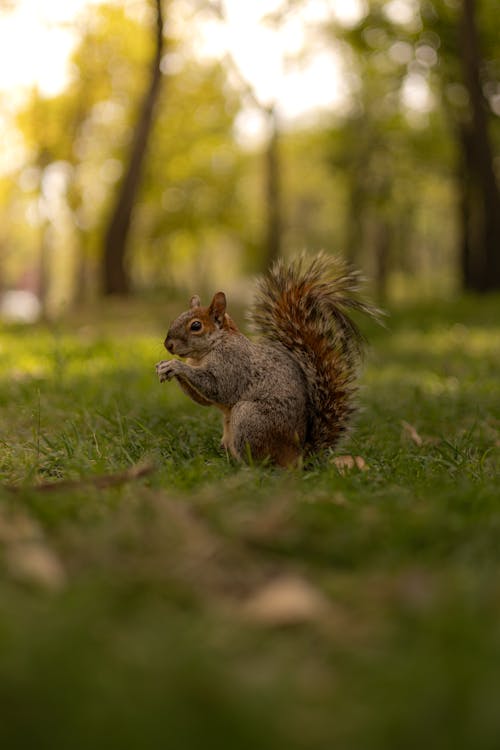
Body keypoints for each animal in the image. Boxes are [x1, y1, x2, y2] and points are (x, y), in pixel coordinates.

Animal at [156, 256, 378, 468]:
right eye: (177, 318)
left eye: (196, 326)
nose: (168, 345)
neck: (205, 352)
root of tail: (298, 456)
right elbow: (203, 399)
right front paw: (164, 368)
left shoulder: (233, 363)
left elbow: (218, 387)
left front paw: (176, 366)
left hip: (250, 418)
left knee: (262, 463)